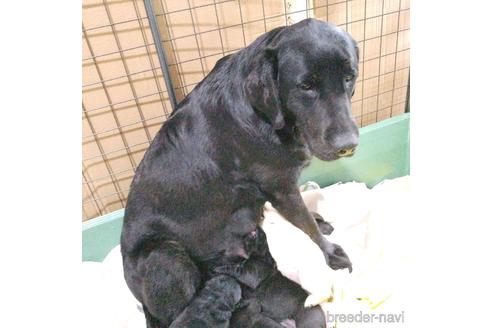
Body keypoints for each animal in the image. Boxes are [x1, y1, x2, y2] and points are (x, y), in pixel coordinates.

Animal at [121, 18, 360, 328]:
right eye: (306, 86)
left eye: (349, 77)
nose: (348, 145)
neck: (265, 114)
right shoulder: (281, 187)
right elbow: (306, 225)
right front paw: (331, 254)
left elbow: (307, 217)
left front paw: (320, 223)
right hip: (165, 254)